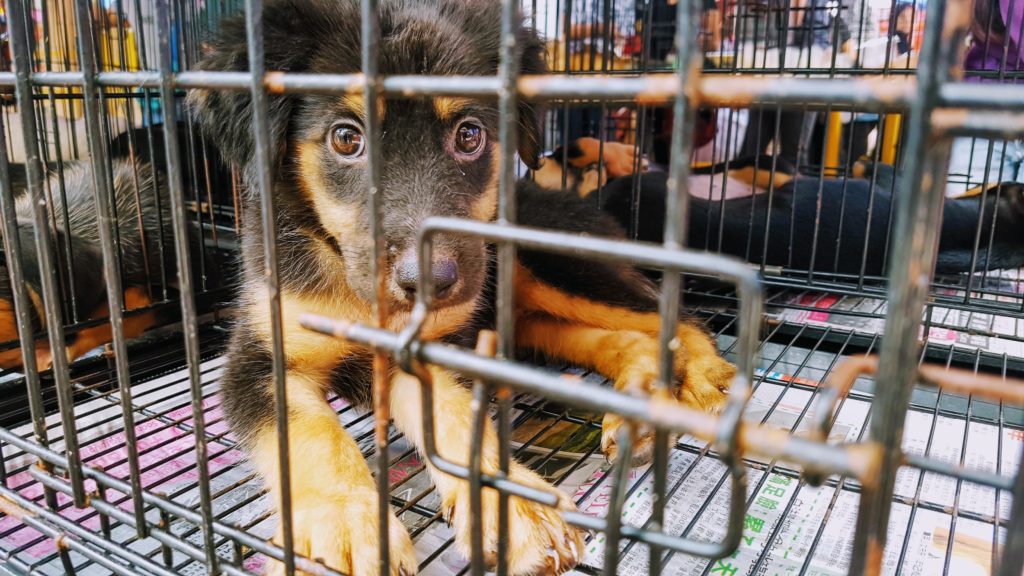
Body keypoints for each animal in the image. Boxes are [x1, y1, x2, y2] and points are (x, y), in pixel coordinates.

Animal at [188, 1, 737, 573]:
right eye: (346, 138)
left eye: (469, 135)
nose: (430, 282)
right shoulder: (260, 357)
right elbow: (309, 431)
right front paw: (345, 522)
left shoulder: (434, 345)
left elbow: (452, 416)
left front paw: (510, 506)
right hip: (526, 321)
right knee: (626, 339)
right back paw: (640, 409)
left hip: (556, 266)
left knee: (676, 315)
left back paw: (702, 380)